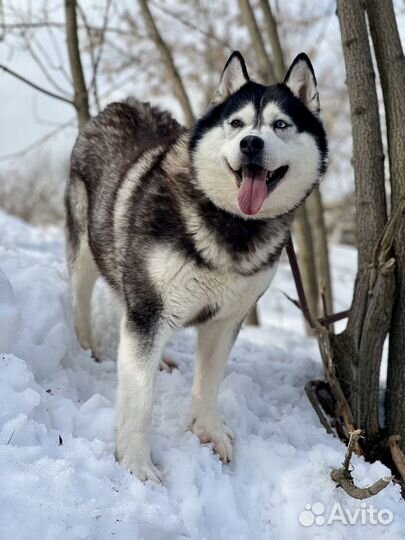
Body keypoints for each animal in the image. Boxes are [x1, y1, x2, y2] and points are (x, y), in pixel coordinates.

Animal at [64, 50, 326, 480]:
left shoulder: (227, 319)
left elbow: (209, 383)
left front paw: (208, 432)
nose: (251, 143)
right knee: (82, 300)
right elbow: (140, 398)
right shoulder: (149, 309)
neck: (231, 225)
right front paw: (136, 465)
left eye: (280, 125)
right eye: (236, 123)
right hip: (86, 246)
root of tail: (124, 103)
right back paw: (88, 347)